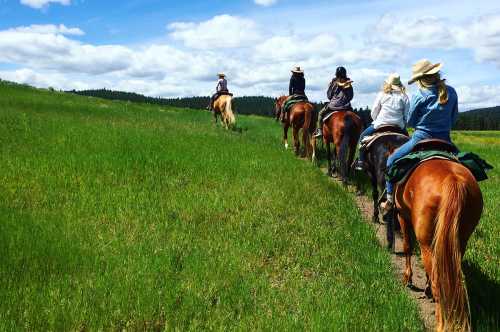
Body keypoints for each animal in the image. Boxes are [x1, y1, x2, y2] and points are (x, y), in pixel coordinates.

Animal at [394, 160, 484, 330]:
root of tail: (452, 180)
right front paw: (425, 287)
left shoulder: (401, 215)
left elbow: (407, 246)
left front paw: (408, 278)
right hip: (458, 243)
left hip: (426, 245)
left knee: (439, 286)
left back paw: (441, 324)